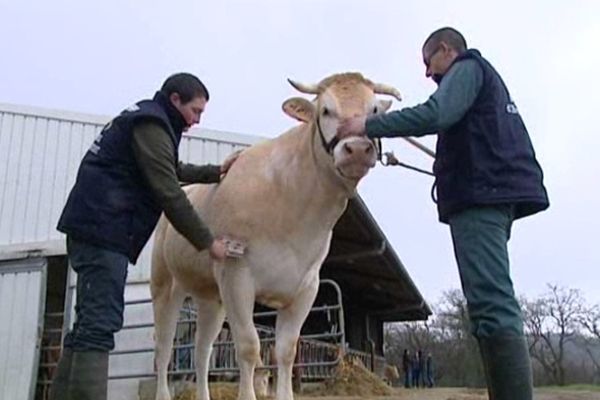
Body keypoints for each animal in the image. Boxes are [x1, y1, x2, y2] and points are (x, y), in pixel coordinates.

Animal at [152, 72, 400, 400]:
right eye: (325, 110)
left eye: (373, 110)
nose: (357, 149)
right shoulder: (236, 276)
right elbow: (249, 347)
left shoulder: (306, 287)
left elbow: (286, 350)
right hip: (165, 285)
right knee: (164, 348)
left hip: (210, 297)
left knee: (202, 350)